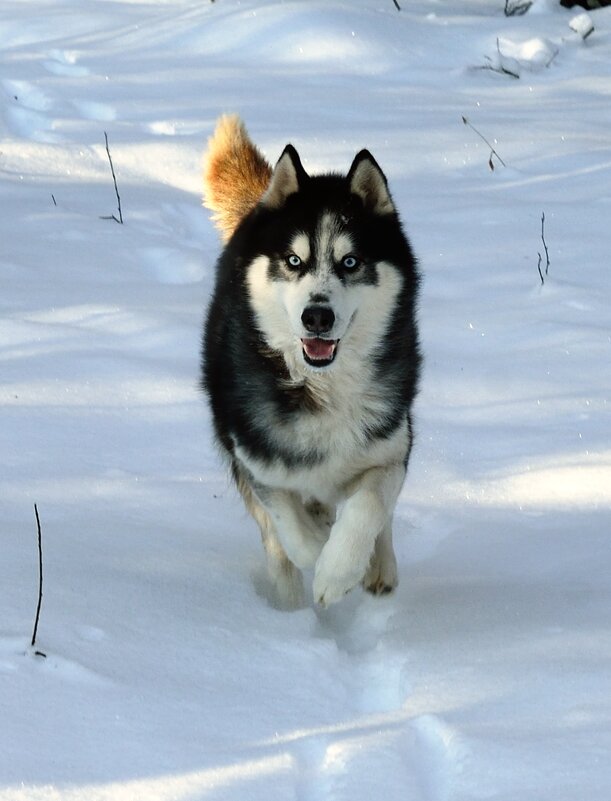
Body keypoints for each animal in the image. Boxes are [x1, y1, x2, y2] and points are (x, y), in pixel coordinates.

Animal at [201, 115, 420, 608]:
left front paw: (339, 571)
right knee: (275, 541)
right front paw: (319, 557)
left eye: (351, 262)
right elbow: (290, 528)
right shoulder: (256, 460)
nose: (317, 316)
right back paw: (287, 599)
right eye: (293, 260)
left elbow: (370, 505)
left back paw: (379, 565)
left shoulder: (389, 449)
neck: (321, 387)